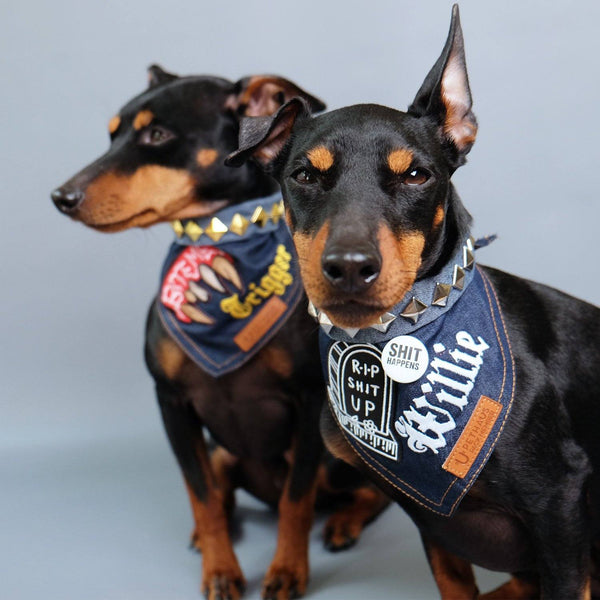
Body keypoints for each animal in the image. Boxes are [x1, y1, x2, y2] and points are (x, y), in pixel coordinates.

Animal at [227, 5, 600, 600]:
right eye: (304, 174)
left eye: (416, 174)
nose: (349, 268)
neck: (403, 333)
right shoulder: (433, 522)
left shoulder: (560, 503)